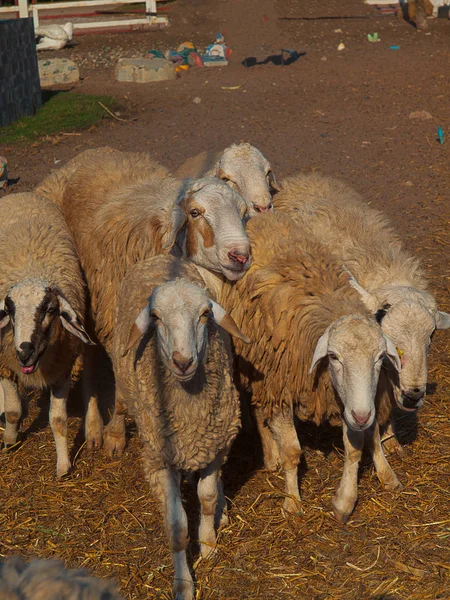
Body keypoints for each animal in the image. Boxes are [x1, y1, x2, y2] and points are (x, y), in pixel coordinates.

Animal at [0, 195, 93, 476]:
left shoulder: (63, 367)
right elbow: (13, 411)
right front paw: (9, 440)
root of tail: (18, 194)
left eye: (50, 310)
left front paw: (63, 465)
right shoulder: (5, 362)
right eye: (10, 311)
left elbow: (59, 420)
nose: (24, 351)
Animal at [37, 150, 251, 450]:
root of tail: (92, 152)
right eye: (195, 213)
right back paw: (94, 427)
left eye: (243, 213)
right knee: (89, 359)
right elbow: (123, 391)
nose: (240, 256)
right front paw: (115, 435)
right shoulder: (121, 324)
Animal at [105, 254, 246, 600]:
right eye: (156, 317)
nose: (183, 362)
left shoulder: (217, 444)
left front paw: (208, 542)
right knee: (120, 402)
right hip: (121, 370)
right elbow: (177, 527)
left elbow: (206, 497)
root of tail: (161, 257)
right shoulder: (162, 461)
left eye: (205, 314)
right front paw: (183, 583)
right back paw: (114, 434)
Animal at [219, 213, 400, 524]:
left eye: (379, 358)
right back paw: (271, 454)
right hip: (259, 368)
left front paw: (346, 499)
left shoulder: (348, 398)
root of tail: (259, 218)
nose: (362, 415)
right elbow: (293, 451)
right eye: (334, 357)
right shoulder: (282, 386)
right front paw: (292, 501)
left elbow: (358, 444)